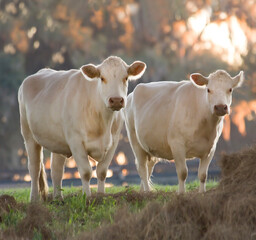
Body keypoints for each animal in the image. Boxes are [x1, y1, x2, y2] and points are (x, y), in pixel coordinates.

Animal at [18, 56, 146, 201]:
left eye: (125, 77)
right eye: (102, 78)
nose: (116, 100)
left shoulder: (113, 142)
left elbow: (102, 171)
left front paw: (100, 196)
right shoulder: (76, 142)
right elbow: (86, 172)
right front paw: (87, 197)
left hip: (57, 142)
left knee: (56, 170)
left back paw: (58, 199)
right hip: (29, 136)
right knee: (34, 168)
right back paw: (34, 199)